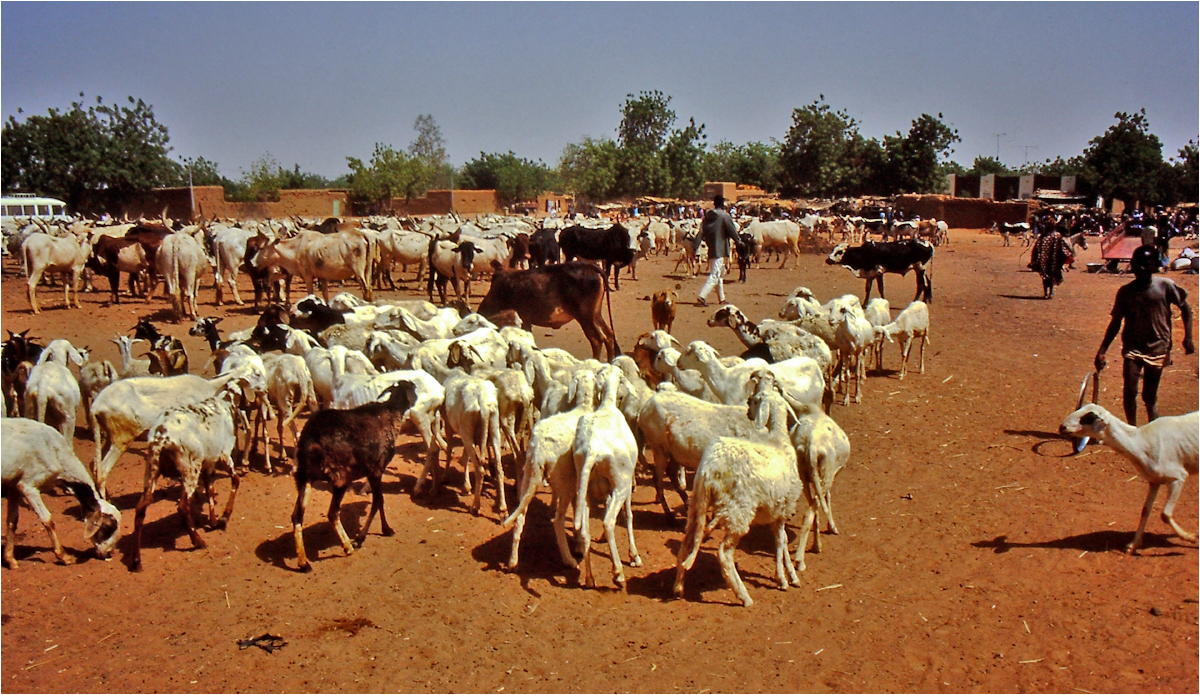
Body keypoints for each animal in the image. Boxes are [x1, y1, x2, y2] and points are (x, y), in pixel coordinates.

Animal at [3, 417, 120, 571]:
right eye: (107, 527)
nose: (109, 553)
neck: (55, 451)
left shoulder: (14, 484)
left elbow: (12, 520)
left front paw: (10, 560)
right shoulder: (28, 486)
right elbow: (47, 519)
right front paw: (64, 557)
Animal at [1065, 405, 1195, 552]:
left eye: (1088, 417)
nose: (1062, 427)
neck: (1140, 441)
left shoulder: (1178, 478)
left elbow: (1165, 515)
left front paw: (1190, 537)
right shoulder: (1154, 481)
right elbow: (1145, 511)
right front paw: (1133, 544)